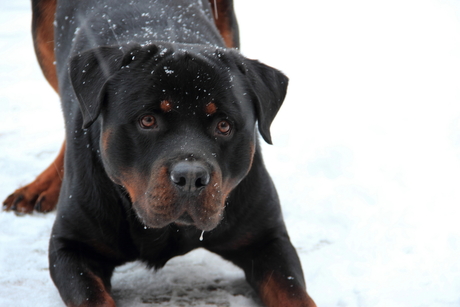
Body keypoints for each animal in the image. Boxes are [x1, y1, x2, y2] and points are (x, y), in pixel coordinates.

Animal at [6, 0, 316, 307]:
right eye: (147, 120)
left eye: (224, 125)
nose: (191, 177)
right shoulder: (72, 246)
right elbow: (92, 297)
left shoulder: (268, 241)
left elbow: (294, 294)